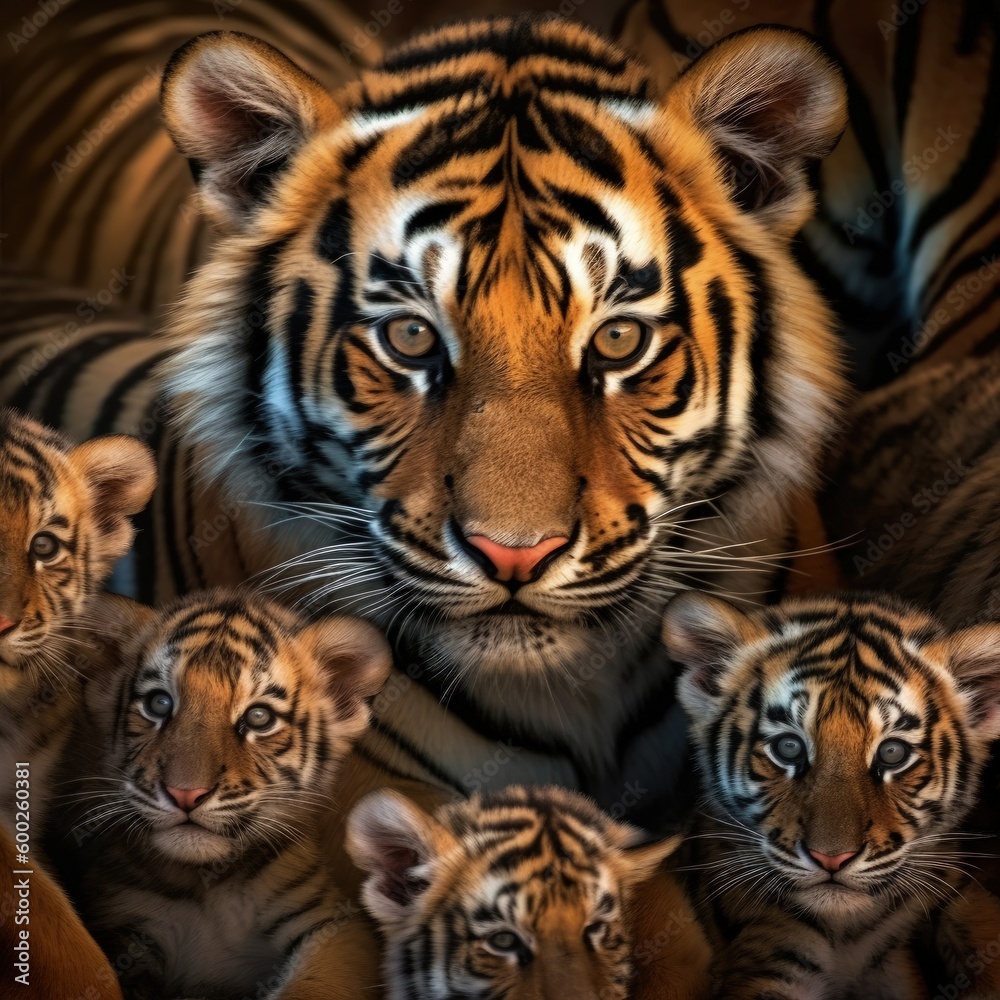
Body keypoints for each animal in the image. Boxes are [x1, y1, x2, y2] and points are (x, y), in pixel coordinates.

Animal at [54, 588, 393, 1000]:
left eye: (260, 718)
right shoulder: (122, 927)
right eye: (158, 704)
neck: (207, 887)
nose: (185, 794)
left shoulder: (333, 926)